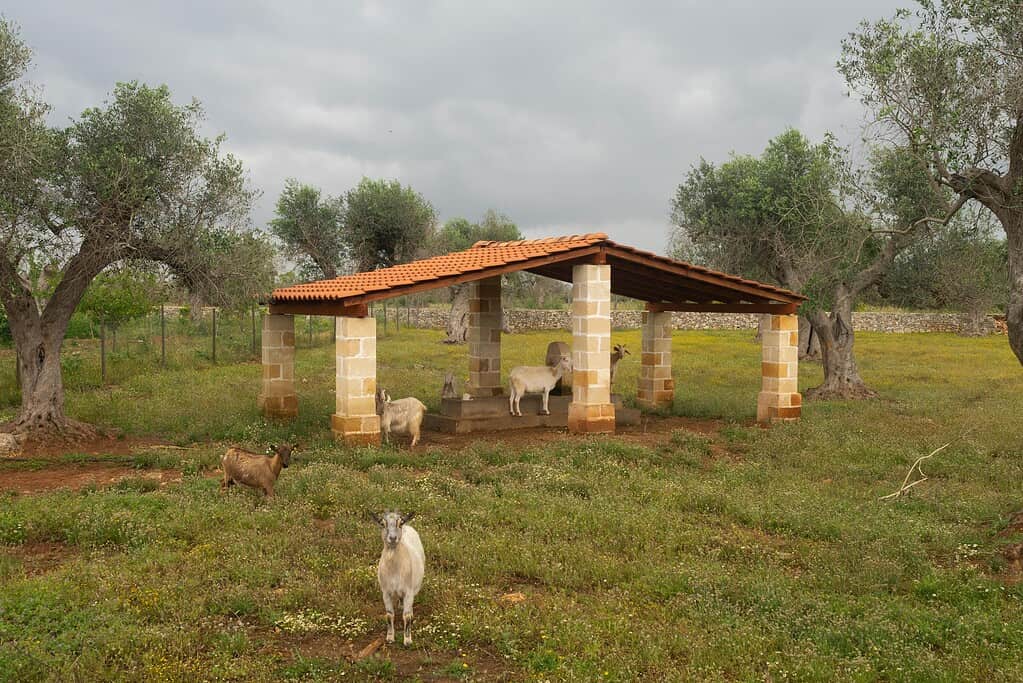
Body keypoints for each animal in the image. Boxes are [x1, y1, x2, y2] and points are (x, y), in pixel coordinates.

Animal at [372, 510, 425, 645]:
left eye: (400, 523)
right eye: (382, 524)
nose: (392, 538)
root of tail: (408, 526)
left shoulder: (409, 591)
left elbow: (407, 616)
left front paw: (407, 640)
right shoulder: (386, 592)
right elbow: (389, 615)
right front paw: (390, 638)